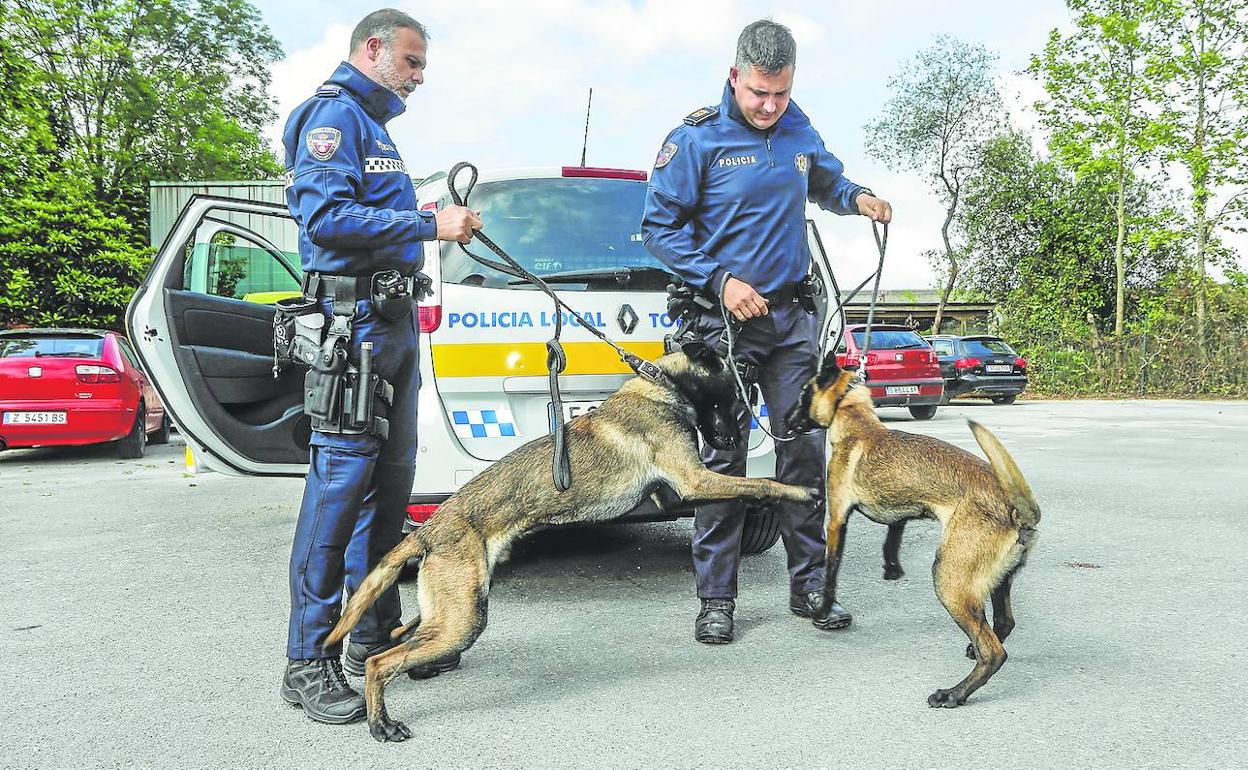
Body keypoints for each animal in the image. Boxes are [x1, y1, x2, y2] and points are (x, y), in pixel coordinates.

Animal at [321, 341, 818, 738]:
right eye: (732, 382)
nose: (753, 364)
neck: (661, 386)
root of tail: (432, 527)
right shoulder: (695, 482)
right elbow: (763, 483)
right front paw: (802, 490)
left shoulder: (676, 491)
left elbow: (752, 486)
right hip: (462, 617)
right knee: (381, 662)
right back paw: (380, 724)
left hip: (453, 606)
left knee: (402, 637)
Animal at [783, 351, 1038, 703]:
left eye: (802, 395)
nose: (784, 420)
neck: (859, 422)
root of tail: (1015, 510)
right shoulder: (901, 511)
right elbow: (893, 535)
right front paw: (892, 567)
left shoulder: (836, 522)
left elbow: (830, 574)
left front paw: (822, 611)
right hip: (996, 582)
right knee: (1003, 623)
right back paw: (970, 654)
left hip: (949, 581)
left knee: (994, 652)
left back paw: (954, 693)